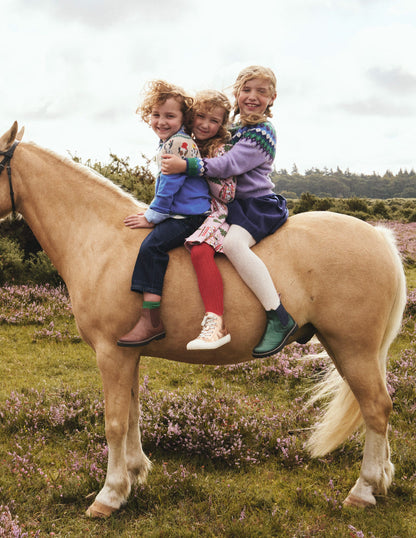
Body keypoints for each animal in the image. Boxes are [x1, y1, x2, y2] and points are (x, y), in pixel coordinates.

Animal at [0, 121, 406, 516]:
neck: (102, 238)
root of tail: (379, 238)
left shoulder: (111, 354)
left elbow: (114, 422)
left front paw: (110, 494)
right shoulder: (127, 354)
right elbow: (132, 415)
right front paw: (135, 472)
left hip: (353, 349)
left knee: (376, 408)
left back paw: (363, 489)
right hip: (349, 350)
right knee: (375, 406)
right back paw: (381, 480)